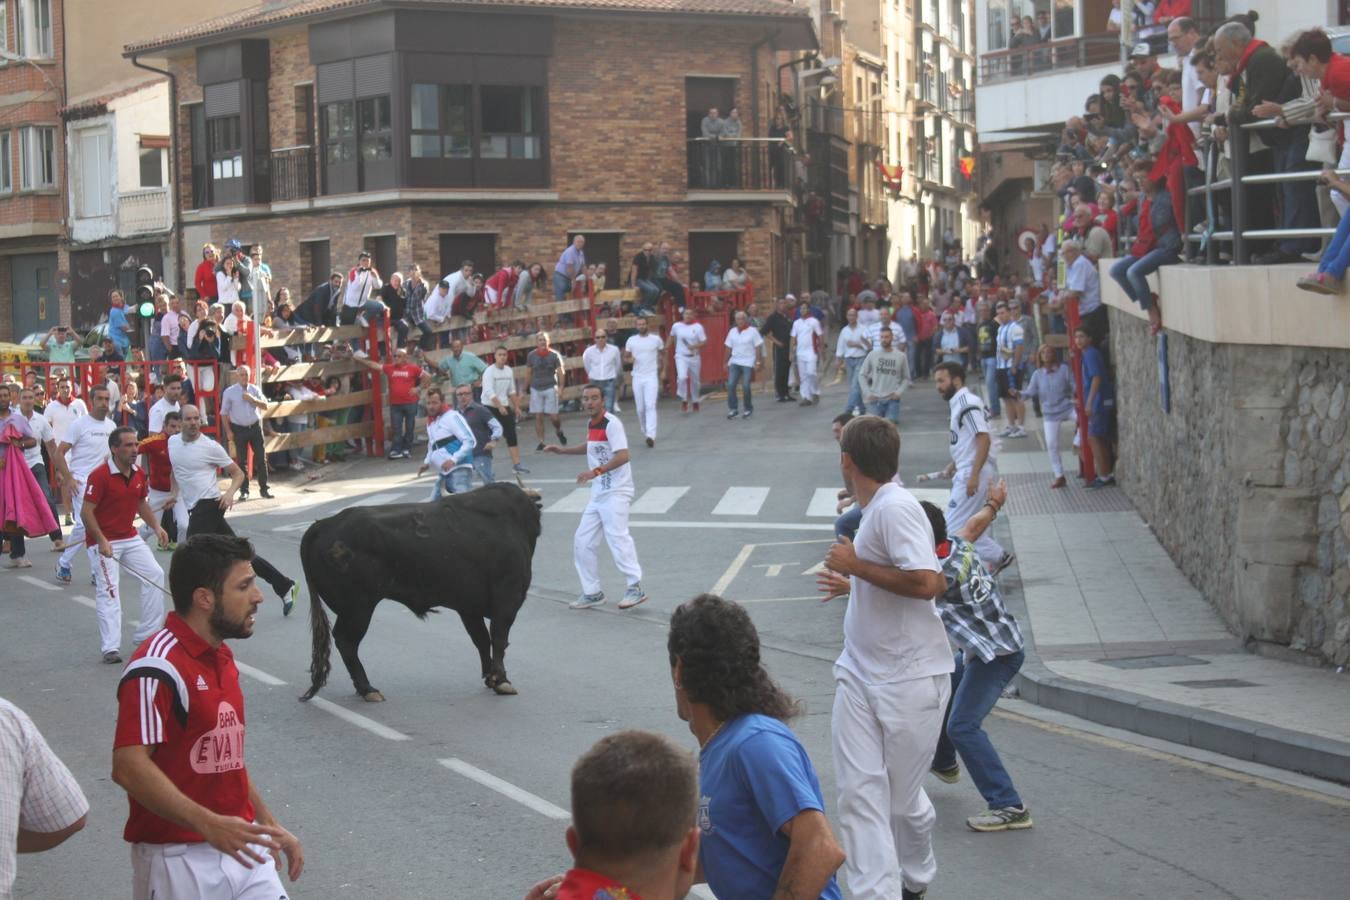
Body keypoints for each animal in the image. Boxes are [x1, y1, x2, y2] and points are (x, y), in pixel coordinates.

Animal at [301, 485, 542, 701]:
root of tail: (323, 524)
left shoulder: (468, 608)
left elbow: (482, 640)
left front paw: (490, 678)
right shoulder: (507, 598)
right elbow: (499, 638)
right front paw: (502, 681)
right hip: (359, 608)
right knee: (346, 641)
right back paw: (368, 689)